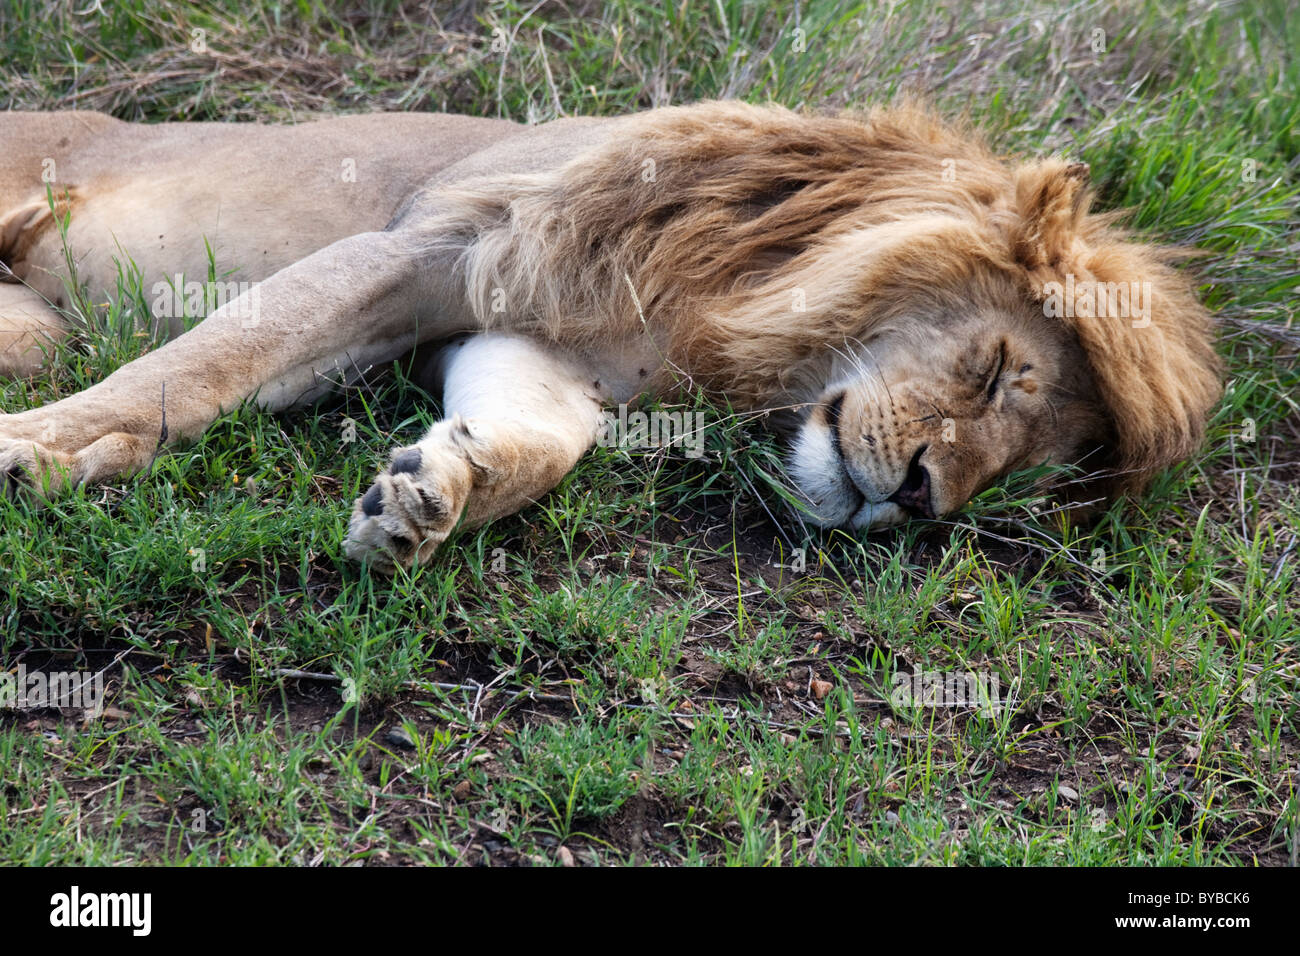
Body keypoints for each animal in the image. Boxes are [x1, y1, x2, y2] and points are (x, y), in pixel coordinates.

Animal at [0, 104, 1216, 567]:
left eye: (1018, 474)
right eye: (997, 366)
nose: (918, 498)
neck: (729, 317)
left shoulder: (540, 350)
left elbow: (543, 444)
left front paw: (431, 499)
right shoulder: (448, 242)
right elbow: (200, 364)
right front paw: (31, 449)